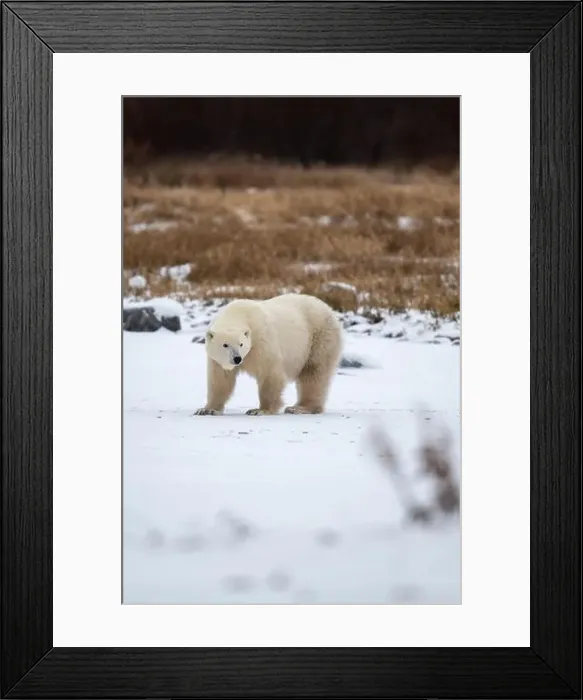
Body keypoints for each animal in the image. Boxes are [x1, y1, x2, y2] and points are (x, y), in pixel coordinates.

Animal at [194, 293, 343, 416]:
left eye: (241, 344)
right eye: (225, 345)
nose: (237, 359)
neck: (239, 313)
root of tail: (328, 309)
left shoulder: (261, 341)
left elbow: (270, 374)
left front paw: (260, 410)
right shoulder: (218, 360)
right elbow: (221, 379)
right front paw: (207, 409)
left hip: (319, 337)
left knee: (314, 372)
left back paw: (300, 408)